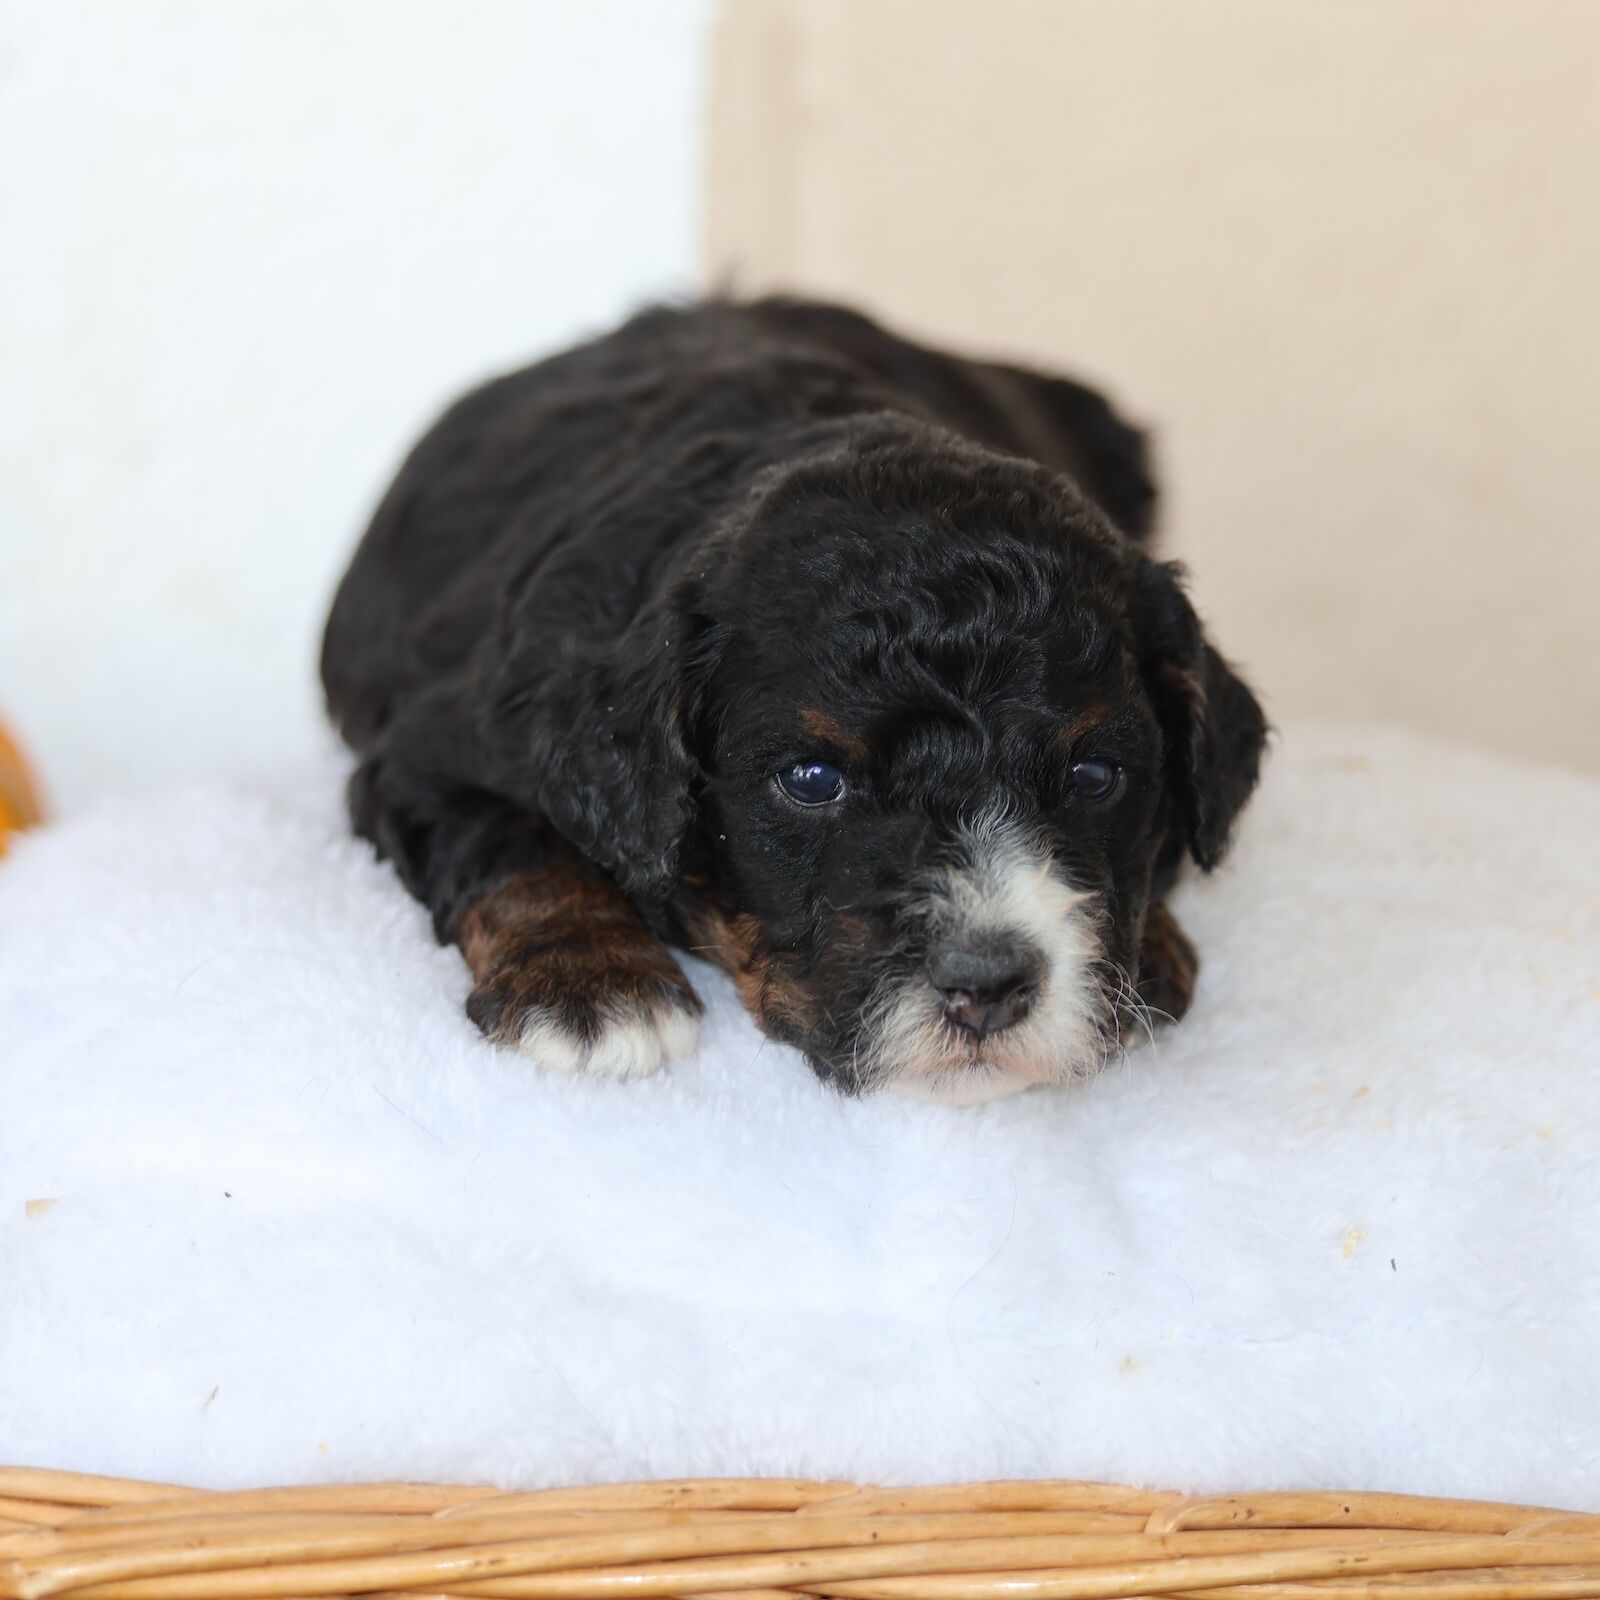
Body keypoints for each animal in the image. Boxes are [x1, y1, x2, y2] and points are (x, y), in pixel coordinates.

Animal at [321, 298, 1266, 1103]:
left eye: (1095, 776)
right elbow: (511, 840)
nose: (987, 986)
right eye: (812, 781)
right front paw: (593, 984)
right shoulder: (432, 754)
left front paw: (1147, 953)